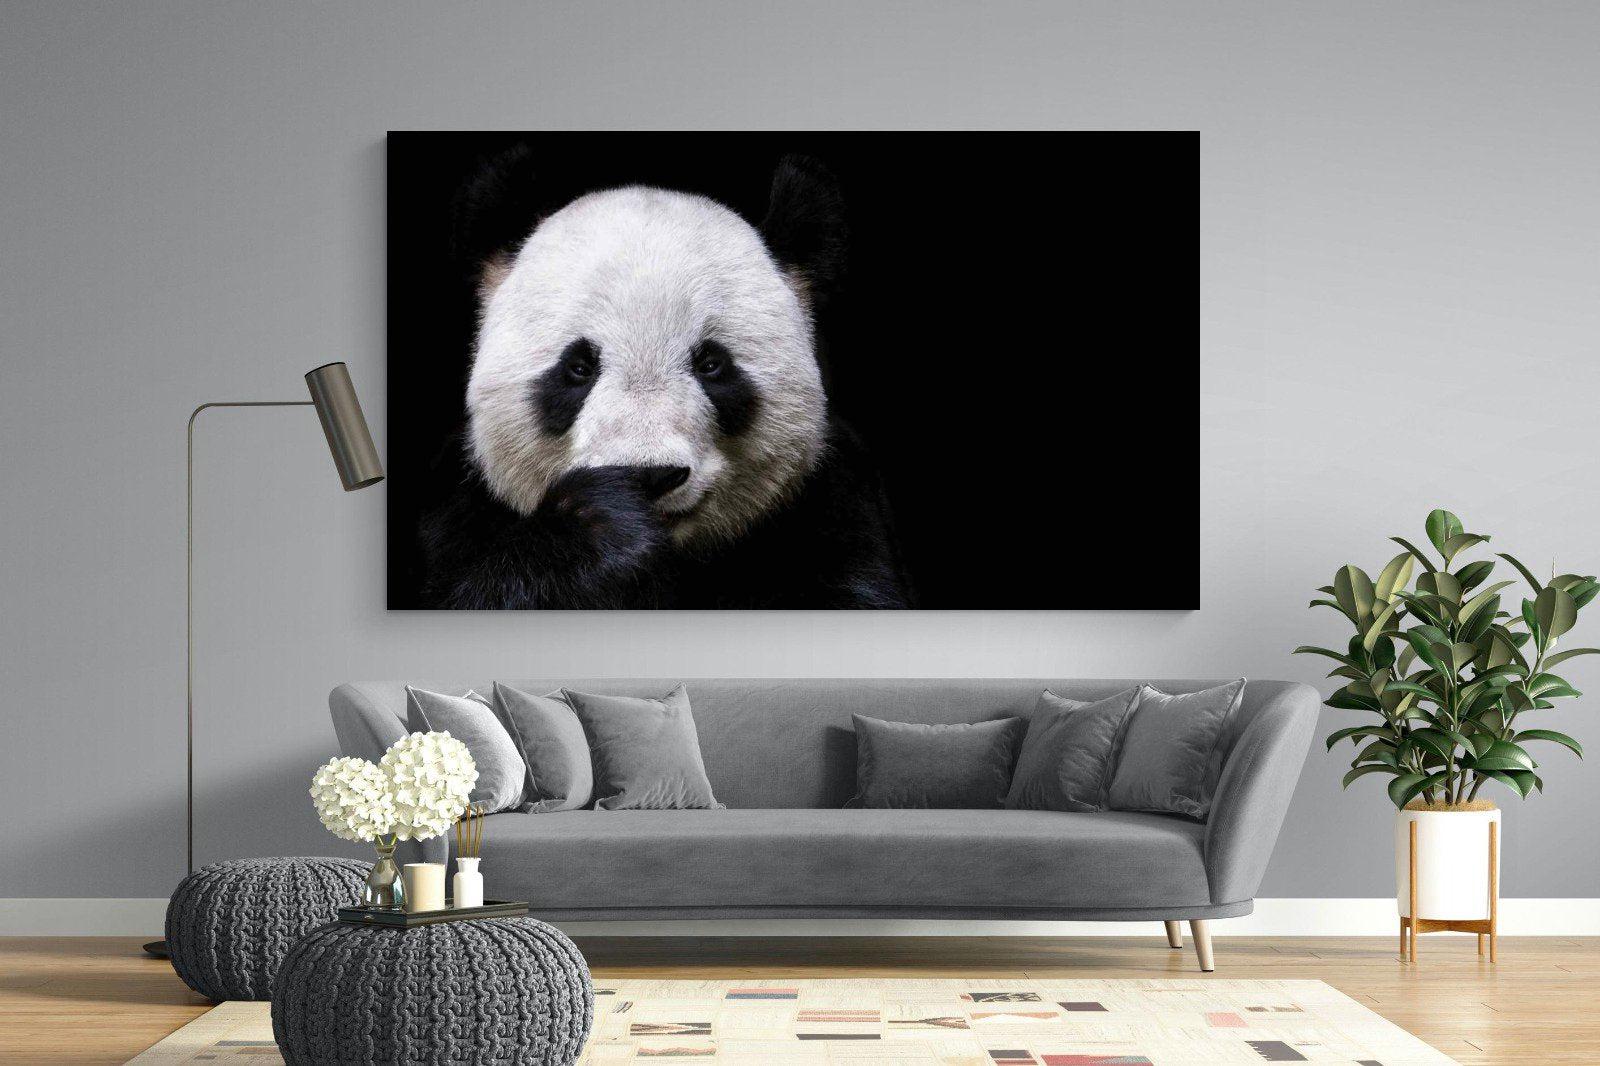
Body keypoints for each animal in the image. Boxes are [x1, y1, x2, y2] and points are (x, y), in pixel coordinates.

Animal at [417, 151, 914, 609]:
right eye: (578, 367)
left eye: (711, 364)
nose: (650, 475)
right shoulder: (458, 511)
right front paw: (599, 527)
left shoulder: (833, 508)